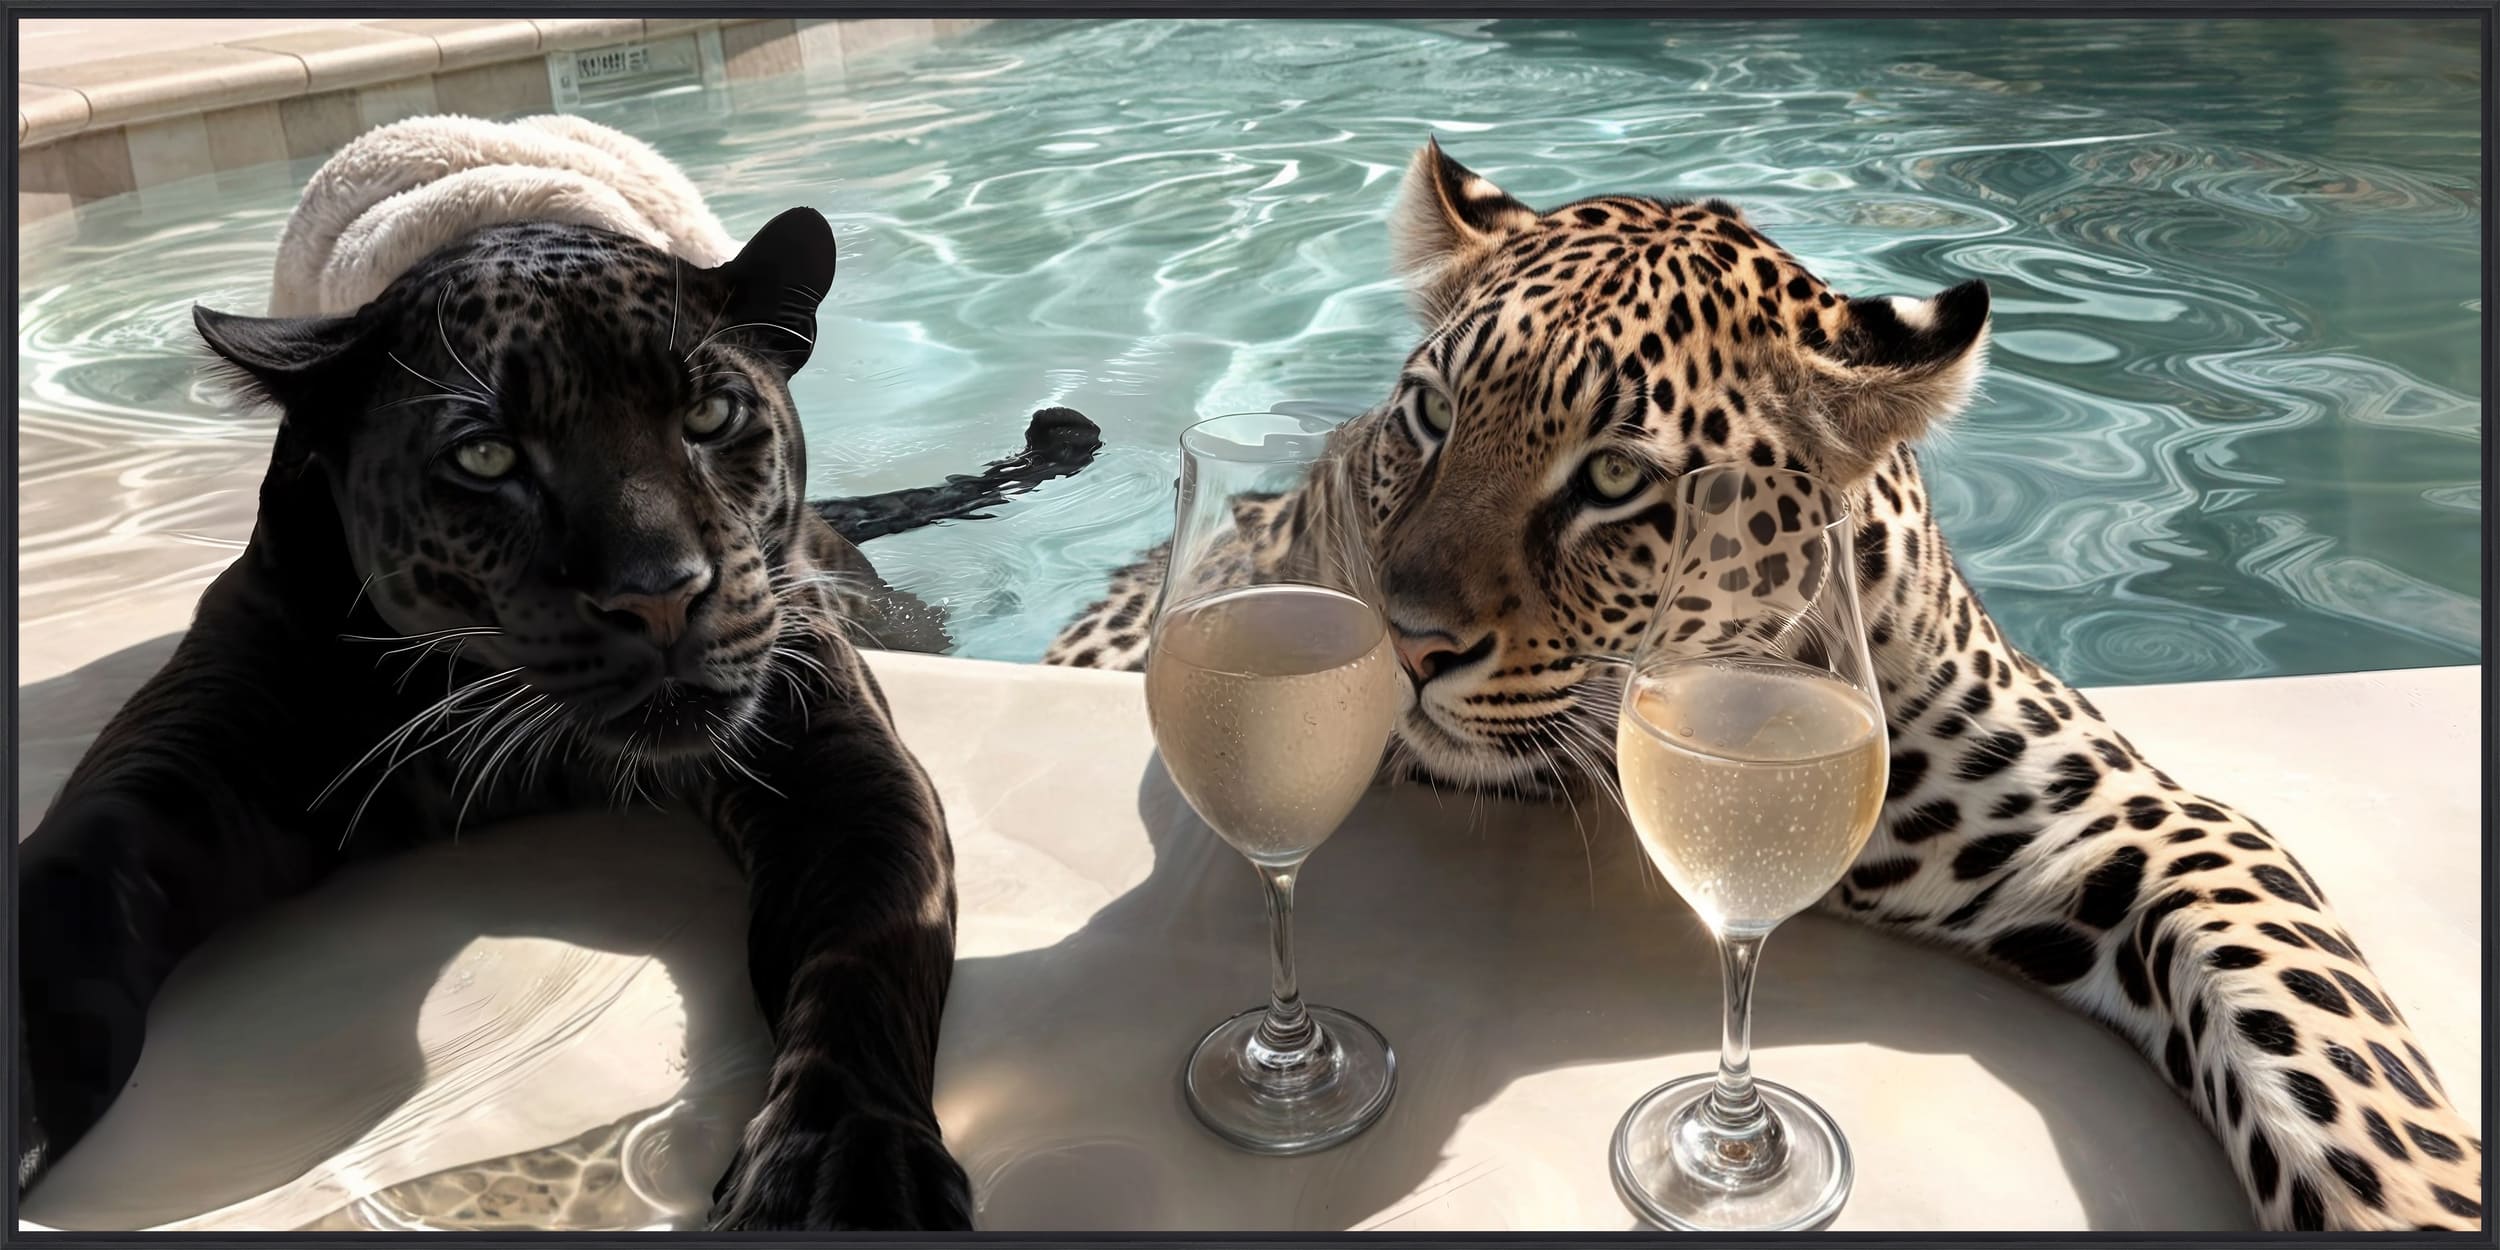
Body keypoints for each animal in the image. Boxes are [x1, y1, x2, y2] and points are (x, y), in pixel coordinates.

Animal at [14, 208, 1098, 1231]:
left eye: (710, 413)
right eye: (487, 455)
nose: (659, 593)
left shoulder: (833, 758)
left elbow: (866, 952)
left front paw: (846, 1171)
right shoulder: (166, 775)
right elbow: (53, 924)